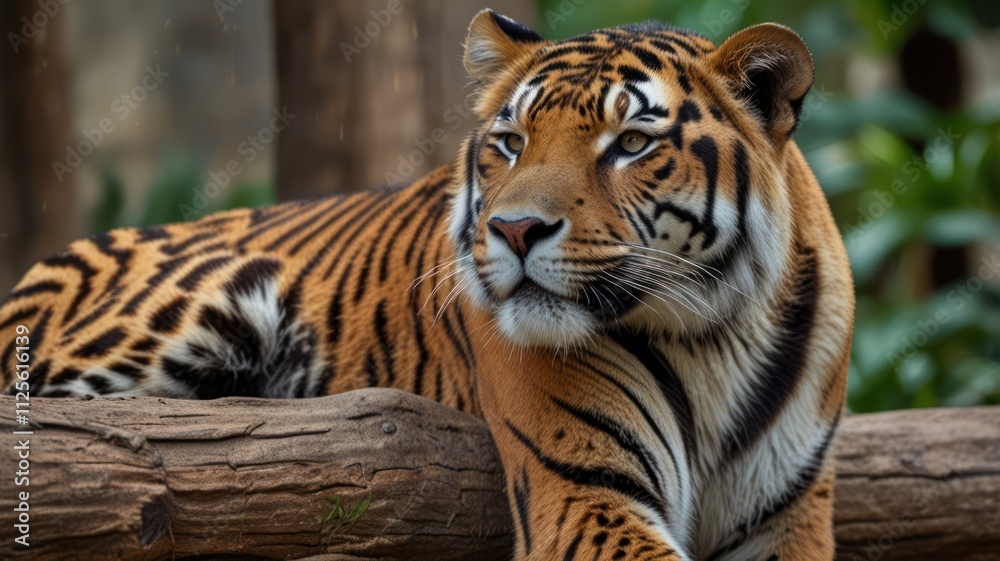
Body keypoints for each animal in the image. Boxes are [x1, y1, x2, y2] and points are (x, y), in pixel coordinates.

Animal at [1, 10, 854, 561]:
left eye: (631, 144)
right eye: (511, 142)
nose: (515, 230)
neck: (711, 332)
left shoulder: (789, 516)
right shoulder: (586, 491)